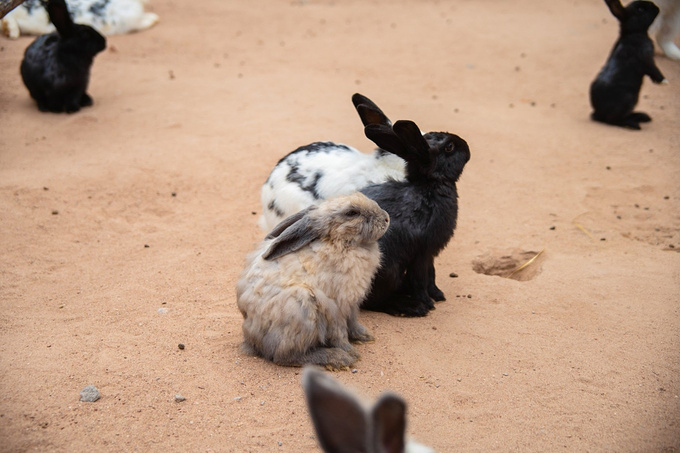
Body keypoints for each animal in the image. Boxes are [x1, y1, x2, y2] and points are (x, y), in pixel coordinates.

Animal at [358, 120, 470, 318]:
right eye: (449, 147)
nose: (467, 147)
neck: (429, 185)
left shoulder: (430, 255)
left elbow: (431, 275)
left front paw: (438, 295)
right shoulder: (422, 254)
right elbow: (421, 280)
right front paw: (428, 302)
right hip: (389, 271)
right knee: (374, 301)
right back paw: (410, 306)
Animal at [588, 0, 668, 129]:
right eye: (640, 9)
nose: (657, 7)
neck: (633, 33)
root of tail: (598, 114)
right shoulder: (646, 59)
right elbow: (654, 70)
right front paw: (664, 81)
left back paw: (642, 117)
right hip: (629, 99)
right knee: (612, 120)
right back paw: (634, 124)